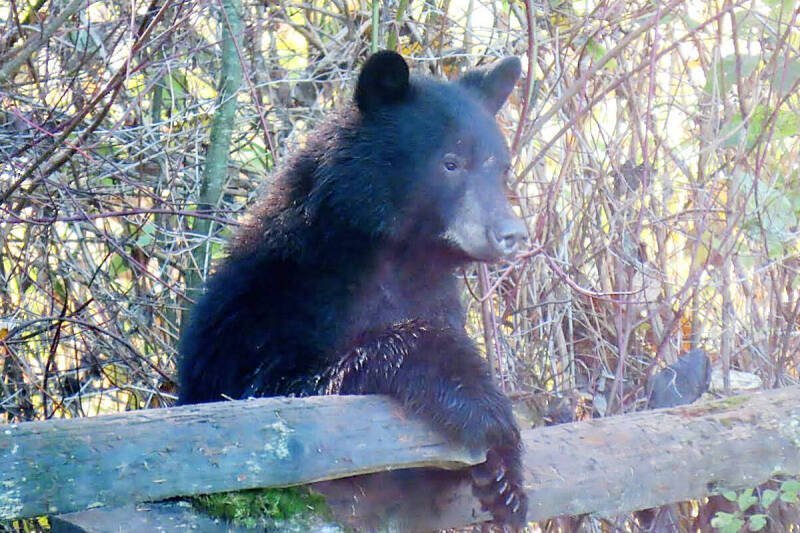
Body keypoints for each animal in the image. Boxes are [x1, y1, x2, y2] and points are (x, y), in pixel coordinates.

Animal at [178, 50, 529, 528]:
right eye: (451, 162)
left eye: (502, 168)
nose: (512, 234)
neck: (396, 257)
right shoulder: (272, 308)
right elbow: (283, 388)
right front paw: (479, 402)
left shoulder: (436, 296)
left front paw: (505, 481)